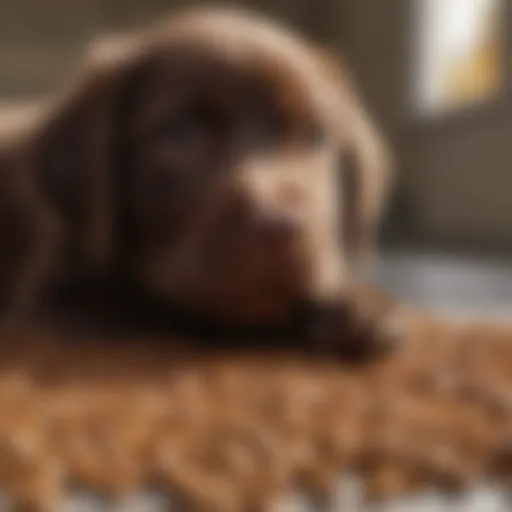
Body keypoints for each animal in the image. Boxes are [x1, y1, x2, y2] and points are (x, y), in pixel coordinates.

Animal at [0, 8, 400, 360]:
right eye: (182, 133)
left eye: (316, 136)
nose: (280, 226)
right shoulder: (55, 299)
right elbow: (155, 308)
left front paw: (356, 304)